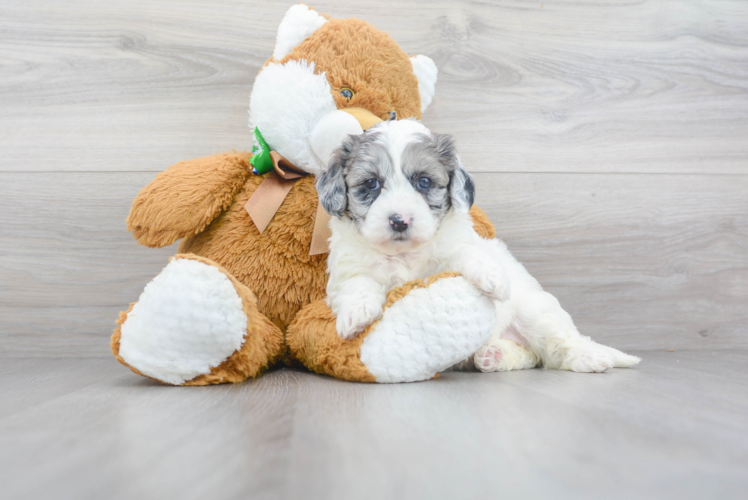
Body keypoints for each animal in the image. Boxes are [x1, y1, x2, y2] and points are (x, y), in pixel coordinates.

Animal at [314, 119, 636, 374]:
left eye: (424, 182)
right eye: (371, 184)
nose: (399, 220)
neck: (404, 254)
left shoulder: (453, 246)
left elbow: (469, 253)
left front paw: (492, 277)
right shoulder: (346, 270)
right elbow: (357, 283)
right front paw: (357, 313)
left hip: (535, 312)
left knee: (556, 348)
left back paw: (588, 356)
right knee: (532, 356)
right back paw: (494, 355)